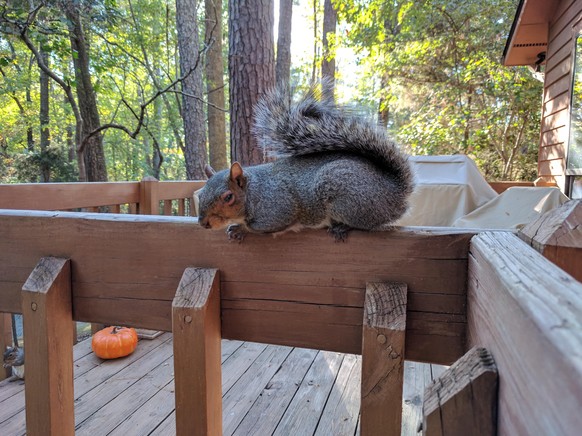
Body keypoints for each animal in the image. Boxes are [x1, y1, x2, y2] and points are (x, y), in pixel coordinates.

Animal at [200, 82, 416, 242]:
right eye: (200, 193)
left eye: (228, 197)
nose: (203, 224)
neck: (254, 193)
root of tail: (395, 192)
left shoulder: (278, 209)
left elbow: (263, 228)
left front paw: (240, 229)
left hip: (349, 200)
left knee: (363, 224)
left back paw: (341, 227)